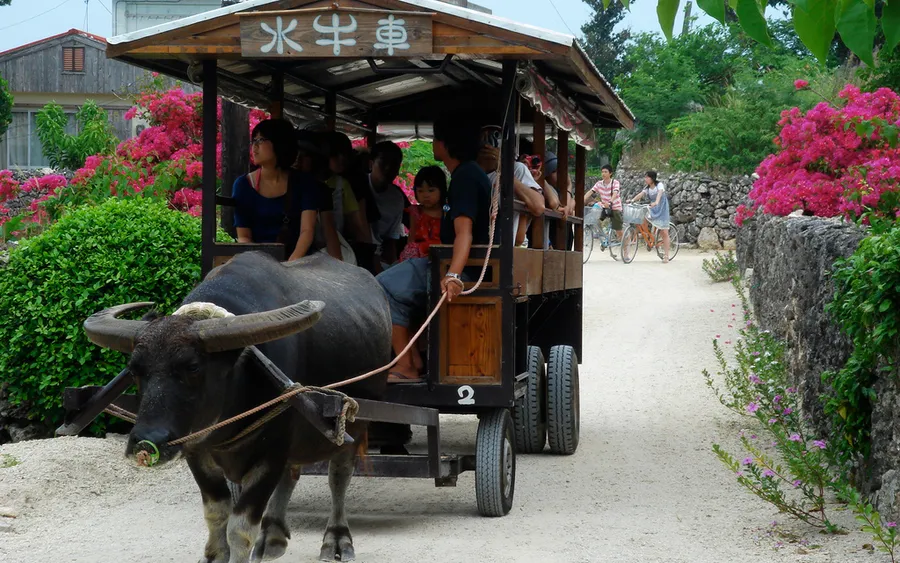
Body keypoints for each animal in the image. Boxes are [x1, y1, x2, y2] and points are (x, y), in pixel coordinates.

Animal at [83, 251, 391, 562]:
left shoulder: (269, 453)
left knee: (338, 477)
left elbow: (241, 528)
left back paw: (336, 539)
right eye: (135, 369)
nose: (146, 442)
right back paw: (273, 535)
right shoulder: (196, 449)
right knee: (291, 474)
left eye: (192, 367)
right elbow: (217, 512)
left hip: (351, 426)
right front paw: (213, 555)